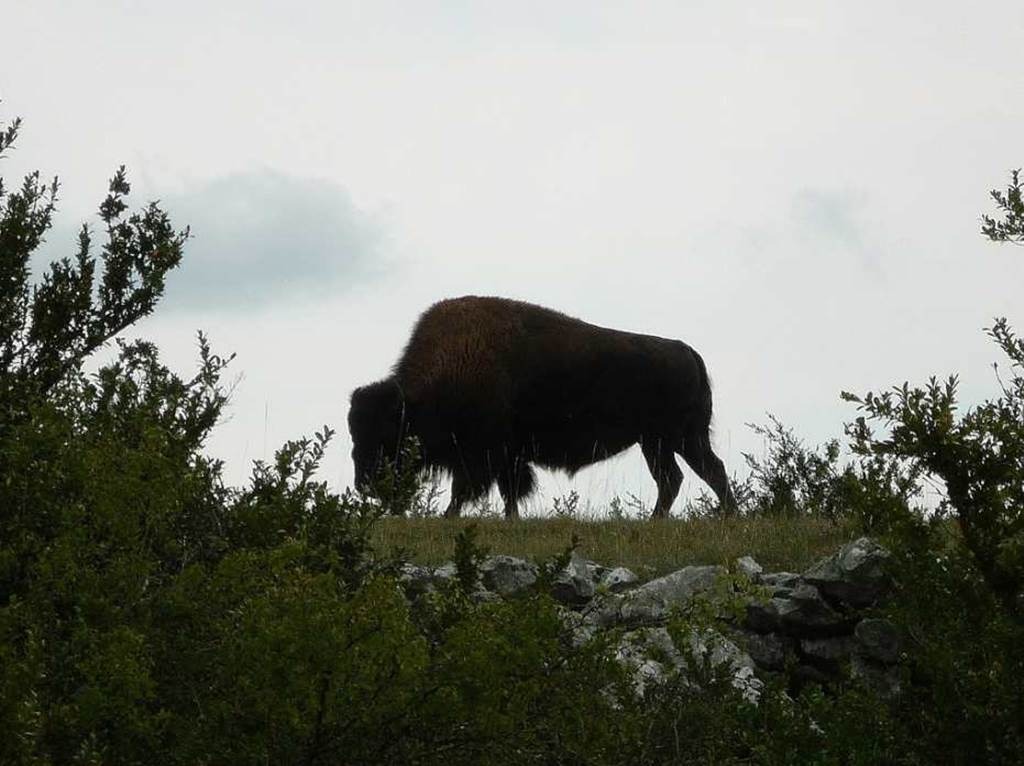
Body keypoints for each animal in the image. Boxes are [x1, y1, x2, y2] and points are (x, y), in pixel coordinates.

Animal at [348, 296, 733, 518]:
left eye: (387, 433)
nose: (364, 483)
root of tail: (687, 351)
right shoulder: (504, 456)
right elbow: (506, 491)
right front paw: (508, 519)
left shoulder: (485, 454)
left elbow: (472, 489)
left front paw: (450, 517)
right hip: (660, 442)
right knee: (682, 476)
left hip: (673, 439)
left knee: (700, 472)